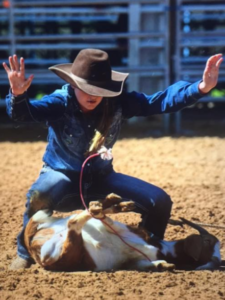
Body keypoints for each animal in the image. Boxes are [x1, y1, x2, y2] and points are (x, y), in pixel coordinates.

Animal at [23, 193, 221, 274]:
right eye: (208, 241)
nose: (217, 259)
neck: (161, 248)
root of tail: (34, 245)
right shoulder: (128, 230)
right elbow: (110, 223)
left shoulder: (134, 260)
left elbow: (144, 264)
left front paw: (163, 266)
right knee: (80, 218)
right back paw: (111, 203)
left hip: (69, 247)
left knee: (75, 222)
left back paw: (111, 204)